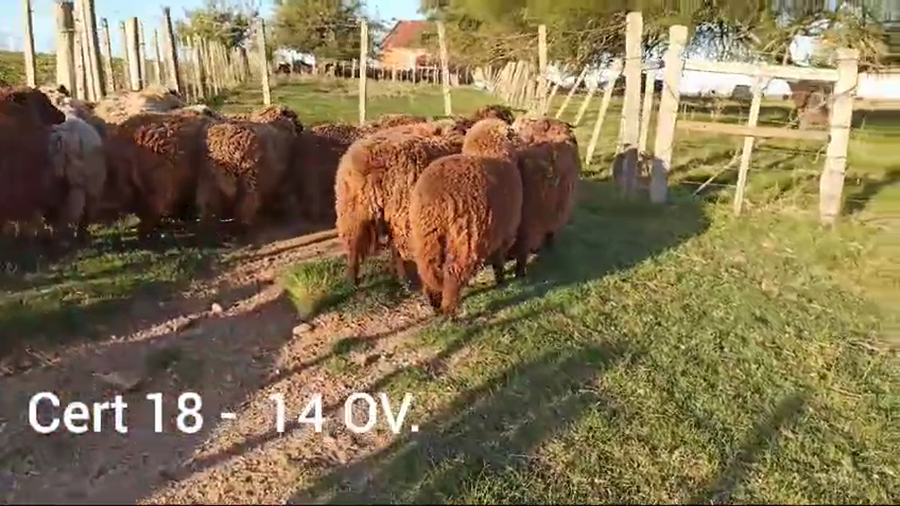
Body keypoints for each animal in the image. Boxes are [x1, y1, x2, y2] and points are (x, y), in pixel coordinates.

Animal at [409, 118, 524, 315]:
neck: (492, 152)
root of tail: (438, 199)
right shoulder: (505, 231)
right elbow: (498, 257)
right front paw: (500, 279)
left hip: (425, 235)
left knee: (428, 270)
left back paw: (434, 302)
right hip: (467, 235)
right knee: (454, 272)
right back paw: (450, 309)